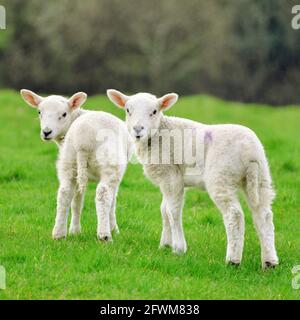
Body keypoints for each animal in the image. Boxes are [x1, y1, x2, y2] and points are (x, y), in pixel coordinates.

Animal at [20, 89, 133, 241]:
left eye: (64, 114)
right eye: (39, 112)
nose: (46, 132)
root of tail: (82, 139)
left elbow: (76, 202)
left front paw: (74, 231)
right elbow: (112, 201)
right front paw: (114, 229)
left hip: (69, 161)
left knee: (64, 193)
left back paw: (59, 233)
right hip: (109, 163)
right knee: (103, 194)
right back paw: (104, 235)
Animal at [106, 89, 278, 268]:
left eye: (154, 111)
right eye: (128, 110)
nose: (138, 130)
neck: (159, 134)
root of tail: (249, 152)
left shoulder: (171, 175)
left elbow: (172, 211)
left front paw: (178, 248)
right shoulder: (166, 179)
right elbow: (163, 210)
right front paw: (164, 245)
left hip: (221, 176)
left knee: (234, 214)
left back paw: (233, 260)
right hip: (261, 177)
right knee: (264, 215)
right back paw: (269, 261)